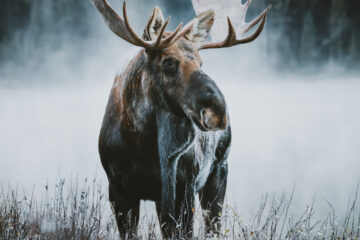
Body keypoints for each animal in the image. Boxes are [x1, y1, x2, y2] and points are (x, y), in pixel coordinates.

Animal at [93, 0, 270, 238]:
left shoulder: (184, 183)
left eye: (201, 62)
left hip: (219, 169)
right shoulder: (118, 187)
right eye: (168, 61)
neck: (142, 145)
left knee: (213, 226)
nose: (218, 112)